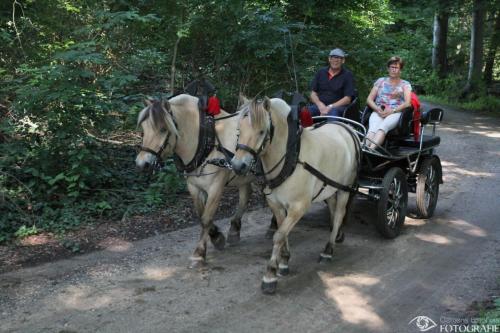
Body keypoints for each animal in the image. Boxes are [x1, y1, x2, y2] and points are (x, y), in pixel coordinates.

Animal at [135, 93, 276, 268]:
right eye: (144, 129)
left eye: (163, 129)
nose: (142, 164)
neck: (206, 142)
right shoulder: (194, 186)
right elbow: (200, 214)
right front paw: (216, 236)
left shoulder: (216, 187)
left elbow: (206, 218)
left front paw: (199, 253)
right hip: (243, 175)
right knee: (245, 196)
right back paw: (235, 229)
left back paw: (273, 226)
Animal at [230, 96, 360, 294]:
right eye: (239, 130)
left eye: (262, 131)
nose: (238, 166)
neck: (290, 158)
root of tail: (348, 129)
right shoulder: (276, 205)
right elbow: (283, 233)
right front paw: (284, 262)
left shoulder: (298, 207)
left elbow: (279, 235)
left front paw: (270, 274)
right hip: (328, 187)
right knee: (332, 209)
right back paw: (336, 235)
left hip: (345, 188)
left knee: (339, 214)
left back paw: (328, 250)